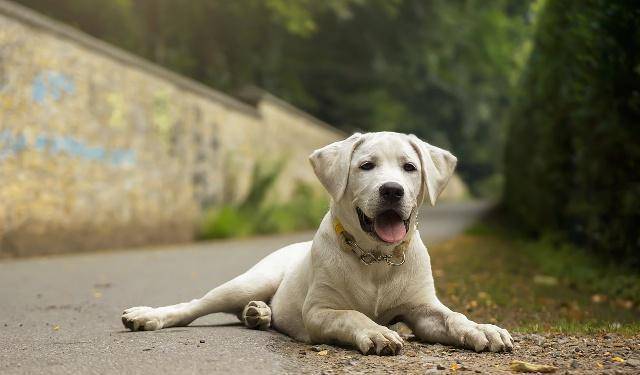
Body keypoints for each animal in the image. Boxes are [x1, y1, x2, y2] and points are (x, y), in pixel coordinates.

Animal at [122, 134, 516, 356]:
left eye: (409, 167)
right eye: (366, 166)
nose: (392, 190)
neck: (375, 258)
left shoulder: (422, 308)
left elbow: (452, 317)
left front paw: (482, 329)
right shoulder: (319, 311)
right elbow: (352, 315)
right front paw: (376, 332)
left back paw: (259, 313)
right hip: (250, 280)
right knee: (193, 306)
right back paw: (147, 316)